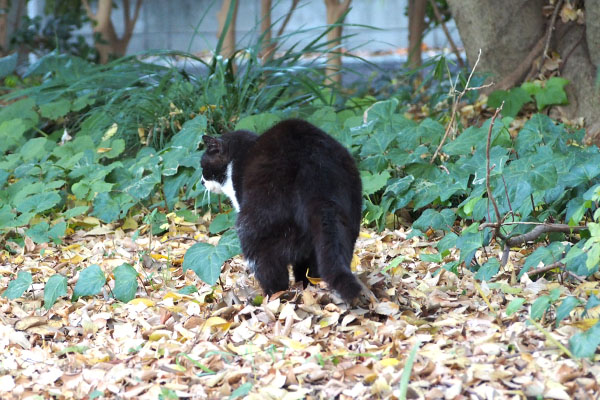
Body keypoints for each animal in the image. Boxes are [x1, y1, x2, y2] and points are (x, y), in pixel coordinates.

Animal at [199, 119, 364, 304]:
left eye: (203, 166)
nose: (202, 182)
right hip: (346, 219)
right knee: (316, 264)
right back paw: (310, 287)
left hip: (257, 225)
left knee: (270, 268)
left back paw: (271, 297)